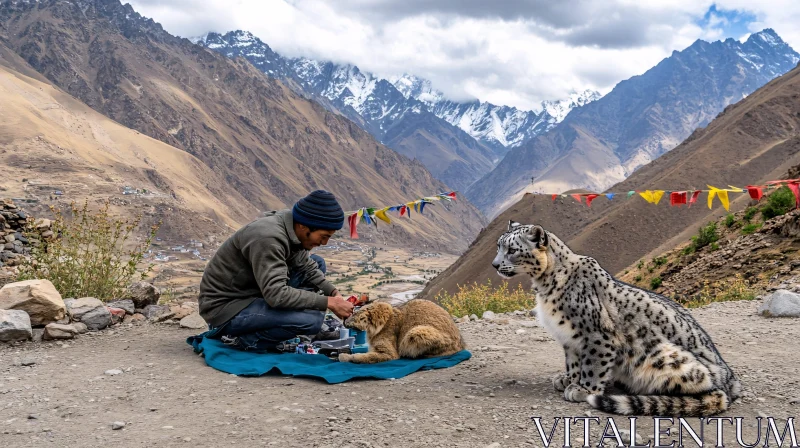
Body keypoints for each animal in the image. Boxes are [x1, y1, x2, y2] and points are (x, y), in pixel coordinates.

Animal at [490, 221, 740, 416]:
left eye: (512, 249)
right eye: (498, 246)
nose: (494, 264)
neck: (544, 286)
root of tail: (731, 381)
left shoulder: (597, 336)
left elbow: (593, 365)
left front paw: (583, 389)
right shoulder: (568, 338)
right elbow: (573, 361)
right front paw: (568, 379)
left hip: (665, 356)